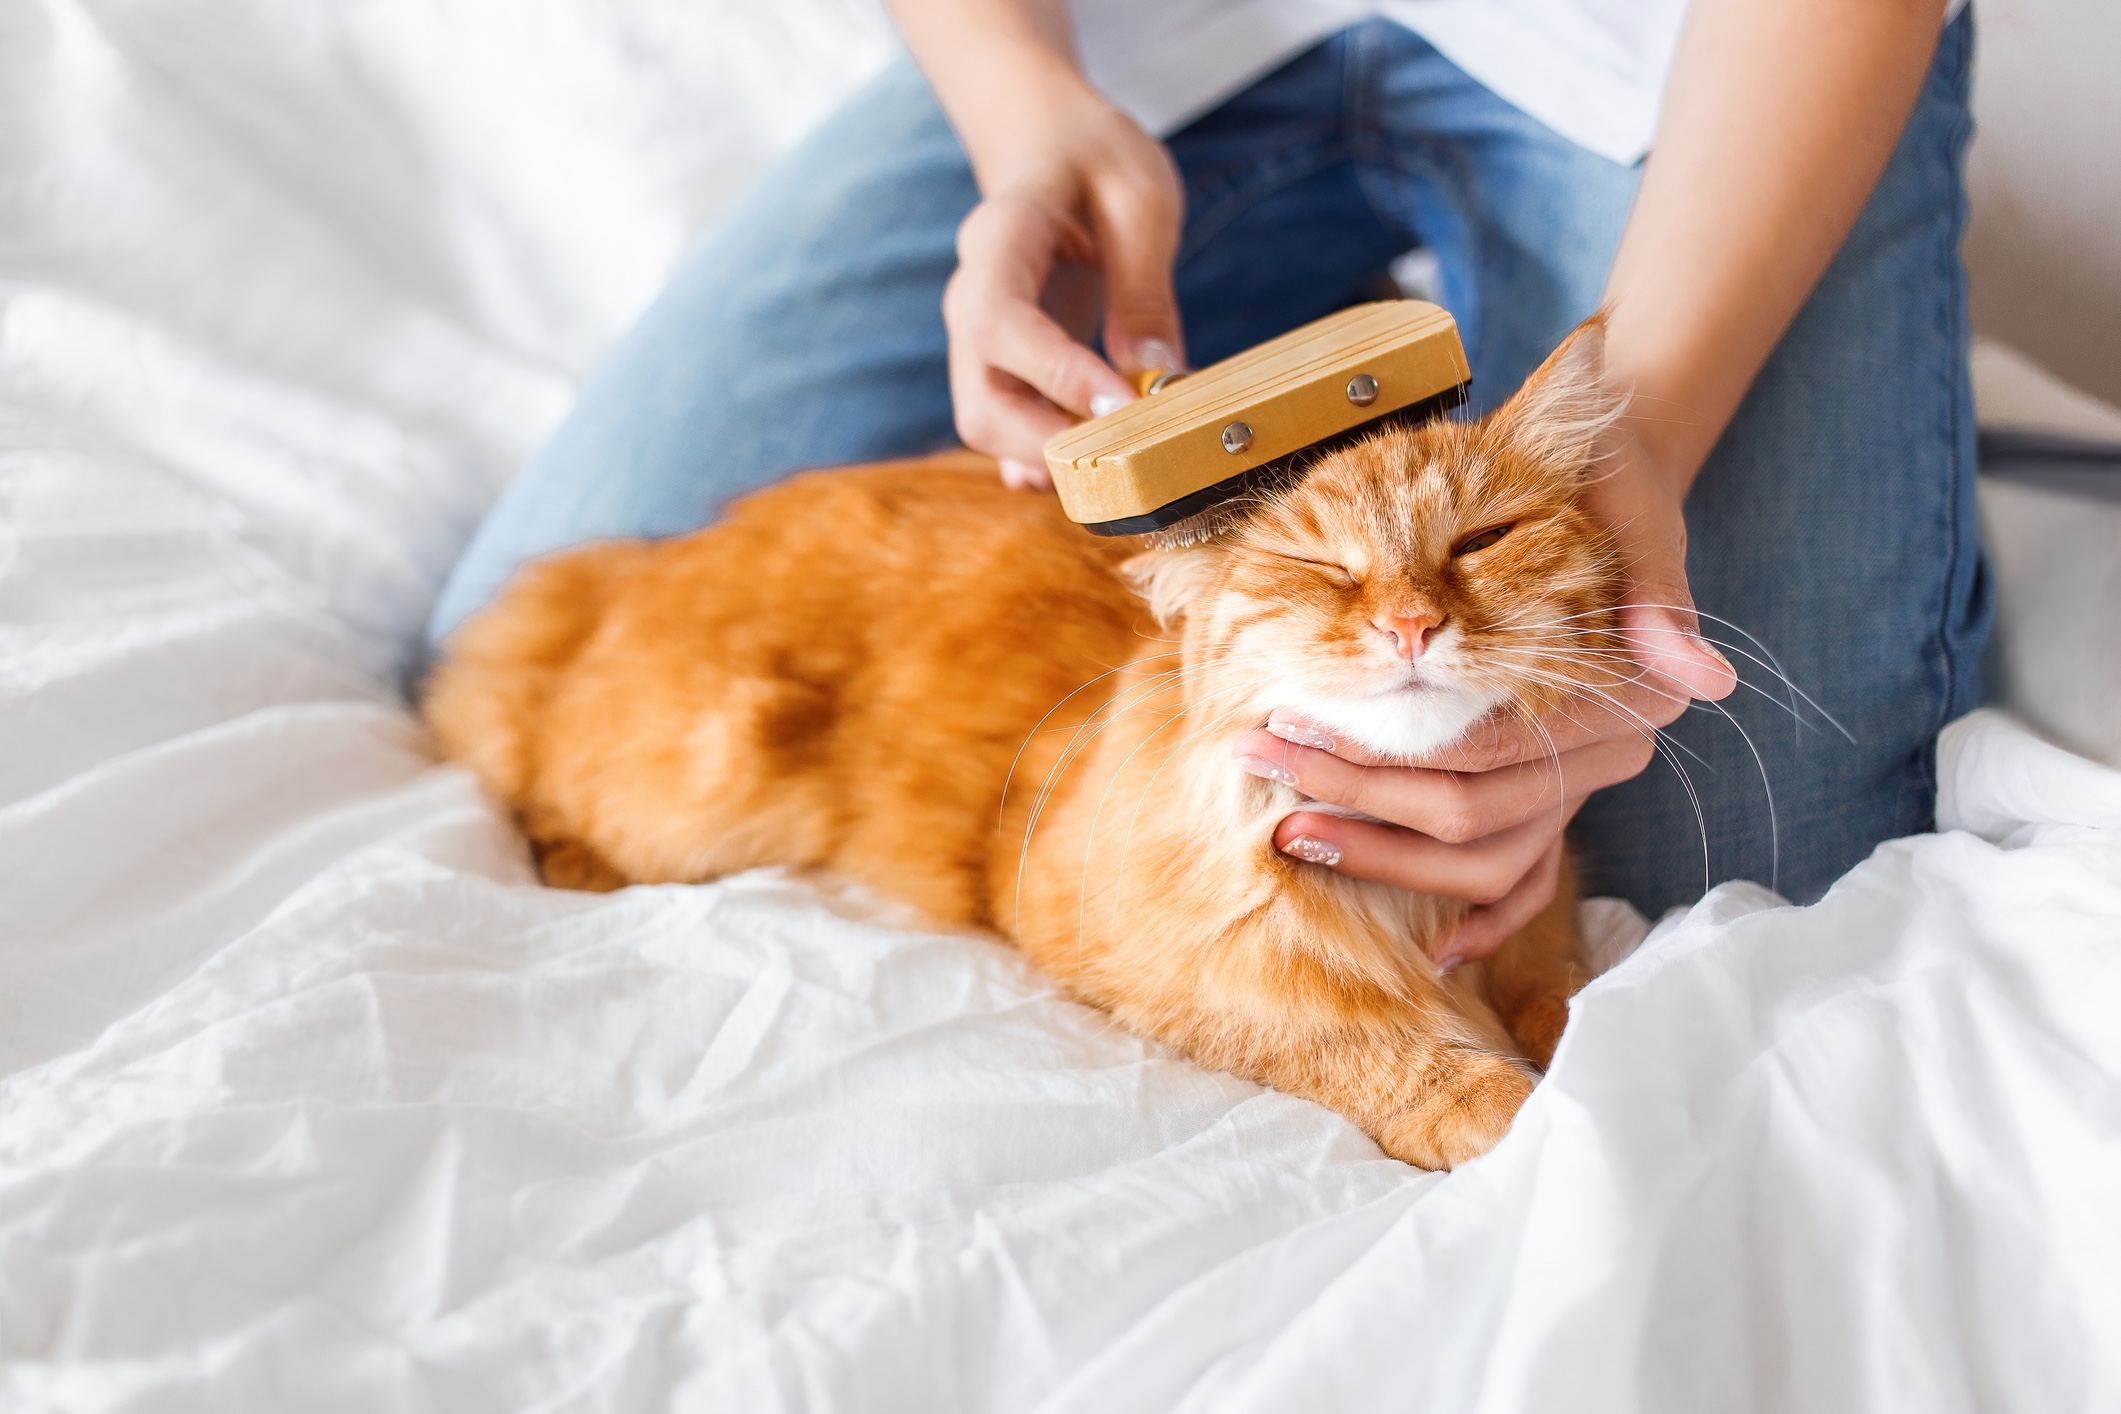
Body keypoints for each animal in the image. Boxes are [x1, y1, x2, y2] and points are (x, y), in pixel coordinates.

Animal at [426, 320, 1620, 1170]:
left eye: (1480, 542)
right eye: (1322, 571)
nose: (1412, 625)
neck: (1408, 901)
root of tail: (635, 562)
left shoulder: (1541, 911)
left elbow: (1568, 995)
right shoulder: (1124, 953)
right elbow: (1349, 1040)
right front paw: (1498, 1100)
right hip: (705, 785)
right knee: (531, 773)